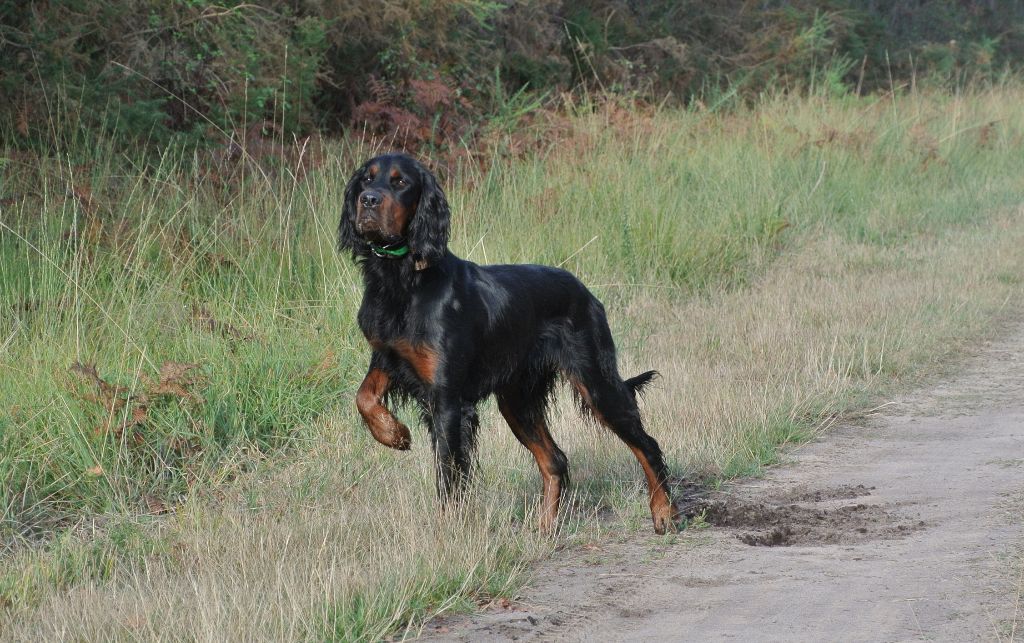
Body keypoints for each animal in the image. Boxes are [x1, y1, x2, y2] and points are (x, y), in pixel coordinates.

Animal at [337, 151, 679, 532]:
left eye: (400, 182)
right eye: (367, 179)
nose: (368, 200)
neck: (404, 280)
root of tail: (586, 292)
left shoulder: (447, 399)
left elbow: (449, 474)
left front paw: (448, 529)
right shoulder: (388, 357)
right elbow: (364, 396)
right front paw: (393, 433)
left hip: (596, 382)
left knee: (647, 445)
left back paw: (664, 512)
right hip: (517, 399)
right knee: (555, 459)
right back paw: (546, 528)